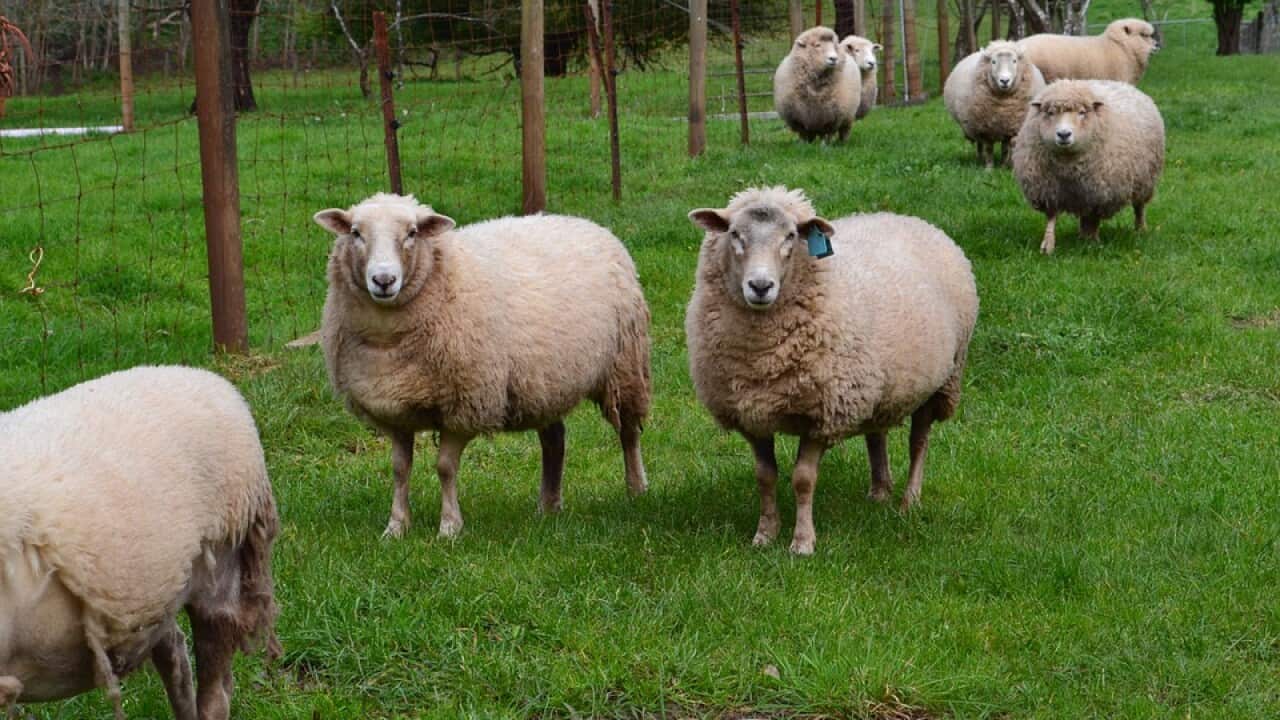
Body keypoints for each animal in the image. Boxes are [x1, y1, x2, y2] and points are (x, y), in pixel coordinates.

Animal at [314, 193, 651, 540]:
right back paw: (548, 506)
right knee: (555, 438)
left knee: (628, 431)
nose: (383, 280)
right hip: (544, 381)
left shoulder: (465, 404)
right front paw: (396, 527)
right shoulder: (395, 410)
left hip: (624, 364)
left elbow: (445, 467)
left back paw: (636, 489)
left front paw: (449, 527)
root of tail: (585, 222)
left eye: (412, 233)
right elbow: (399, 469)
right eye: (355, 233)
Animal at [685, 187, 978, 555]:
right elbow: (765, 476)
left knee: (918, 442)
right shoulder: (752, 414)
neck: (762, 358)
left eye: (791, 236)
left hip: (941, 381)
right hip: (873, 387)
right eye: (735, 234)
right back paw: (879, 491)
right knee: (876, 434)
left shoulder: (823, 413)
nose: (761, 286)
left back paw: (909, 501)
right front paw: (764, 535)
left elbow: (803, 479)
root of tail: (907, 217)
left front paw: (802, 542)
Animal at [1011, 80, 1165, 254]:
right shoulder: (1048, 190)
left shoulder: (1099, 192)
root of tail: (1125, 85)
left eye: (1082, 112)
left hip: (1145, 179)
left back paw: (1140, 229)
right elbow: (1051, 217)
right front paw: (1048, 245)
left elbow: (1094, 217)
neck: (1067, 166)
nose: (1064, 134)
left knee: (1139, 207)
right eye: (1050, 112)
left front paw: (1092, 242)